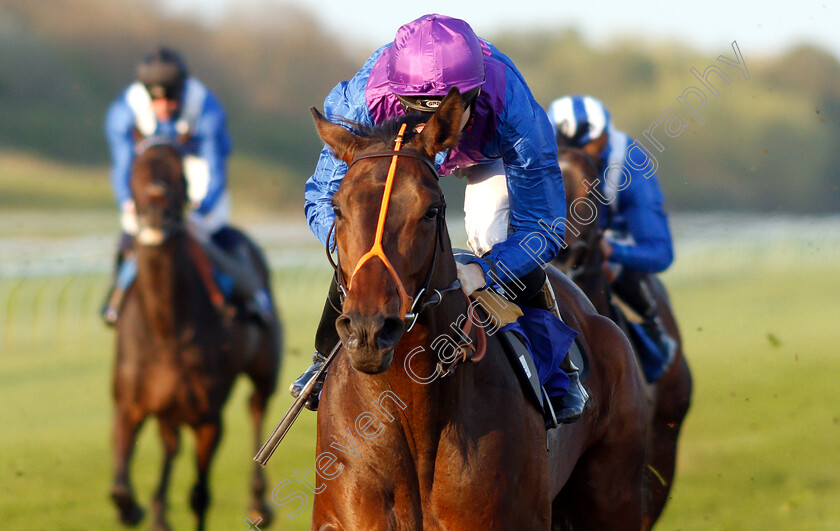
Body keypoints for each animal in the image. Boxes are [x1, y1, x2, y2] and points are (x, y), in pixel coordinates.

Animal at [110, 138, 282, 531]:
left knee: (257, 409)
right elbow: (120, 487)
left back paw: (258, 503)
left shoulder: (209, 418)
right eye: (136, 170)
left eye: (181, 175)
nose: (156, 216)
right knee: (171, 444)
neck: (165, 329)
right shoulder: (130, 405)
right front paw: (137, 510)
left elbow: (200, 495)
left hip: (264, 369)